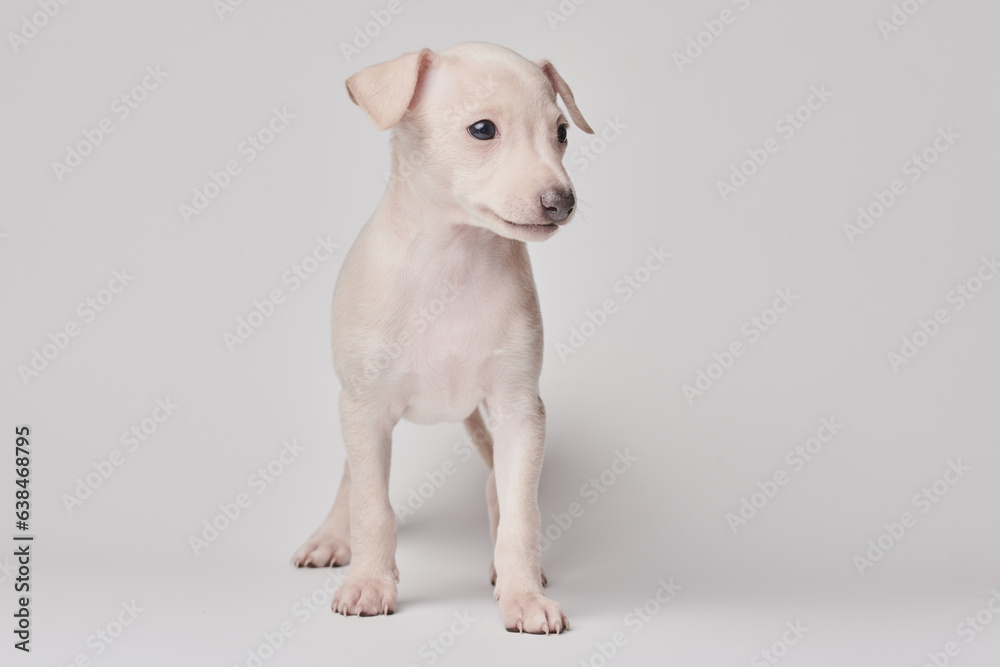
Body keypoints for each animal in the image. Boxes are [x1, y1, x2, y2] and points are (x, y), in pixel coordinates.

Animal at [292, 41, 592, 636]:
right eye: (482, 129)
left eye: (562, 132)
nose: (561, 202)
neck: (452, 265)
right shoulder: (366, 409)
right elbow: (371, 506)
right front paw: (370, 583)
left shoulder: (520, 410)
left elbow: (521, 511)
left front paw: (523, 595)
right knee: (352, 478)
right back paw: (331, 537)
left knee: (497, 488)